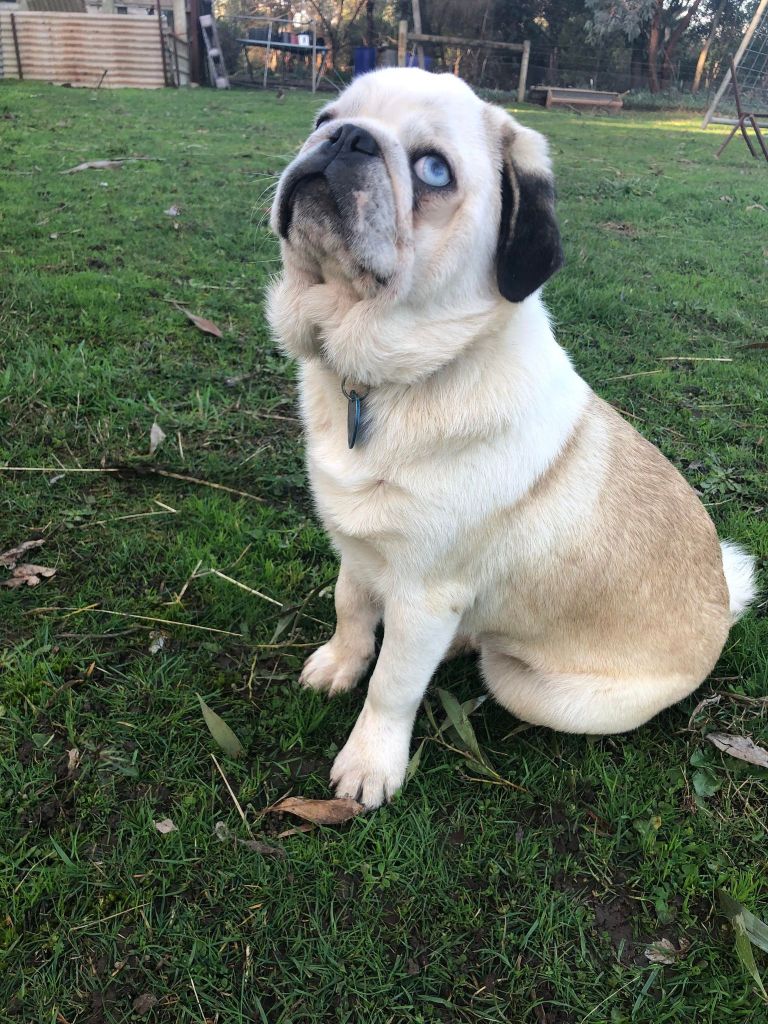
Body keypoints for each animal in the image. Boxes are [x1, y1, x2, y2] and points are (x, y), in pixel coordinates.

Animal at [267, 68, 757, 809]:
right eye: (324, 118)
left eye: (433, 170)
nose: (347, 138)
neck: (379, 383)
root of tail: (724, 608)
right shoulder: (359, 548)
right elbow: (350, 608)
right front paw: (340, 664)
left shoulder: (423, 594)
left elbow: (392, 686)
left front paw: (370, 763)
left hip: (522, 682)